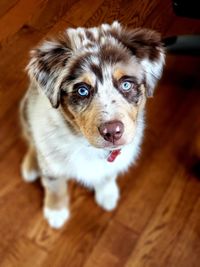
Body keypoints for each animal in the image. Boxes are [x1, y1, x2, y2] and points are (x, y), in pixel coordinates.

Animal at [19, 22, 164, 229]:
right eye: (82, 90)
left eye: (126, 85)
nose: (112, 132)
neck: (85, 144)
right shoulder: (52, 163)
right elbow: (55, 186)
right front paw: (56, 212)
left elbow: (107, 175)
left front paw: (107, 194)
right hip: (26, 110)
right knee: (31, 140)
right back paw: (31, 167)